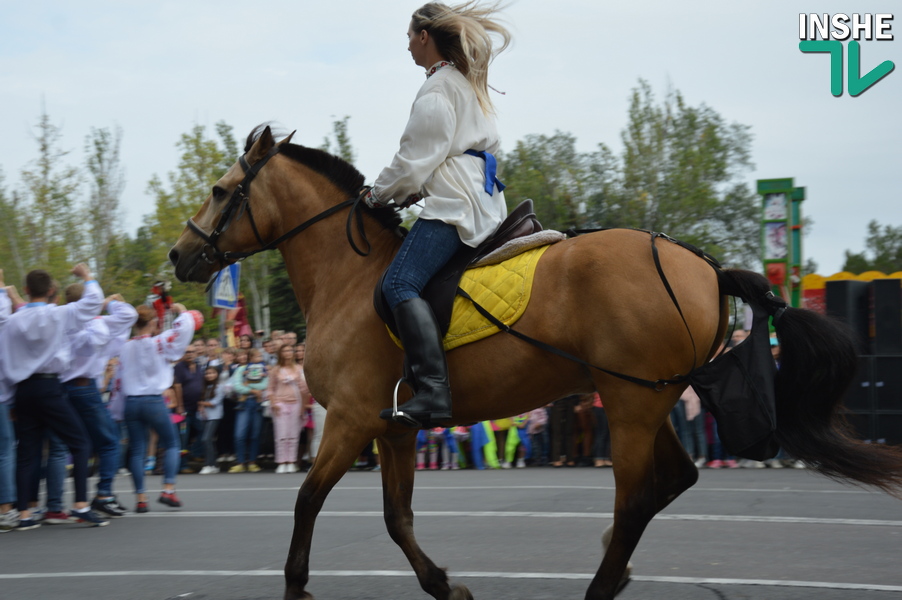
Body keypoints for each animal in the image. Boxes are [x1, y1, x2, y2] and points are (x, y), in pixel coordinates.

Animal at [168, 126, 902, 600]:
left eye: (221, 189)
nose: (180, 255)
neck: (350, 279)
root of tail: (704, 265)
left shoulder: (349, 421)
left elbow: (306, 501)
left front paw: (297, 585)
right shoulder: (392, 428)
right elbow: (397, 518)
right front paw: (443, 584)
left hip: (630, 405)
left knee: (637, 498)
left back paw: (602, 583)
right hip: (647, 396)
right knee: (673, 481)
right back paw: (614, 566)